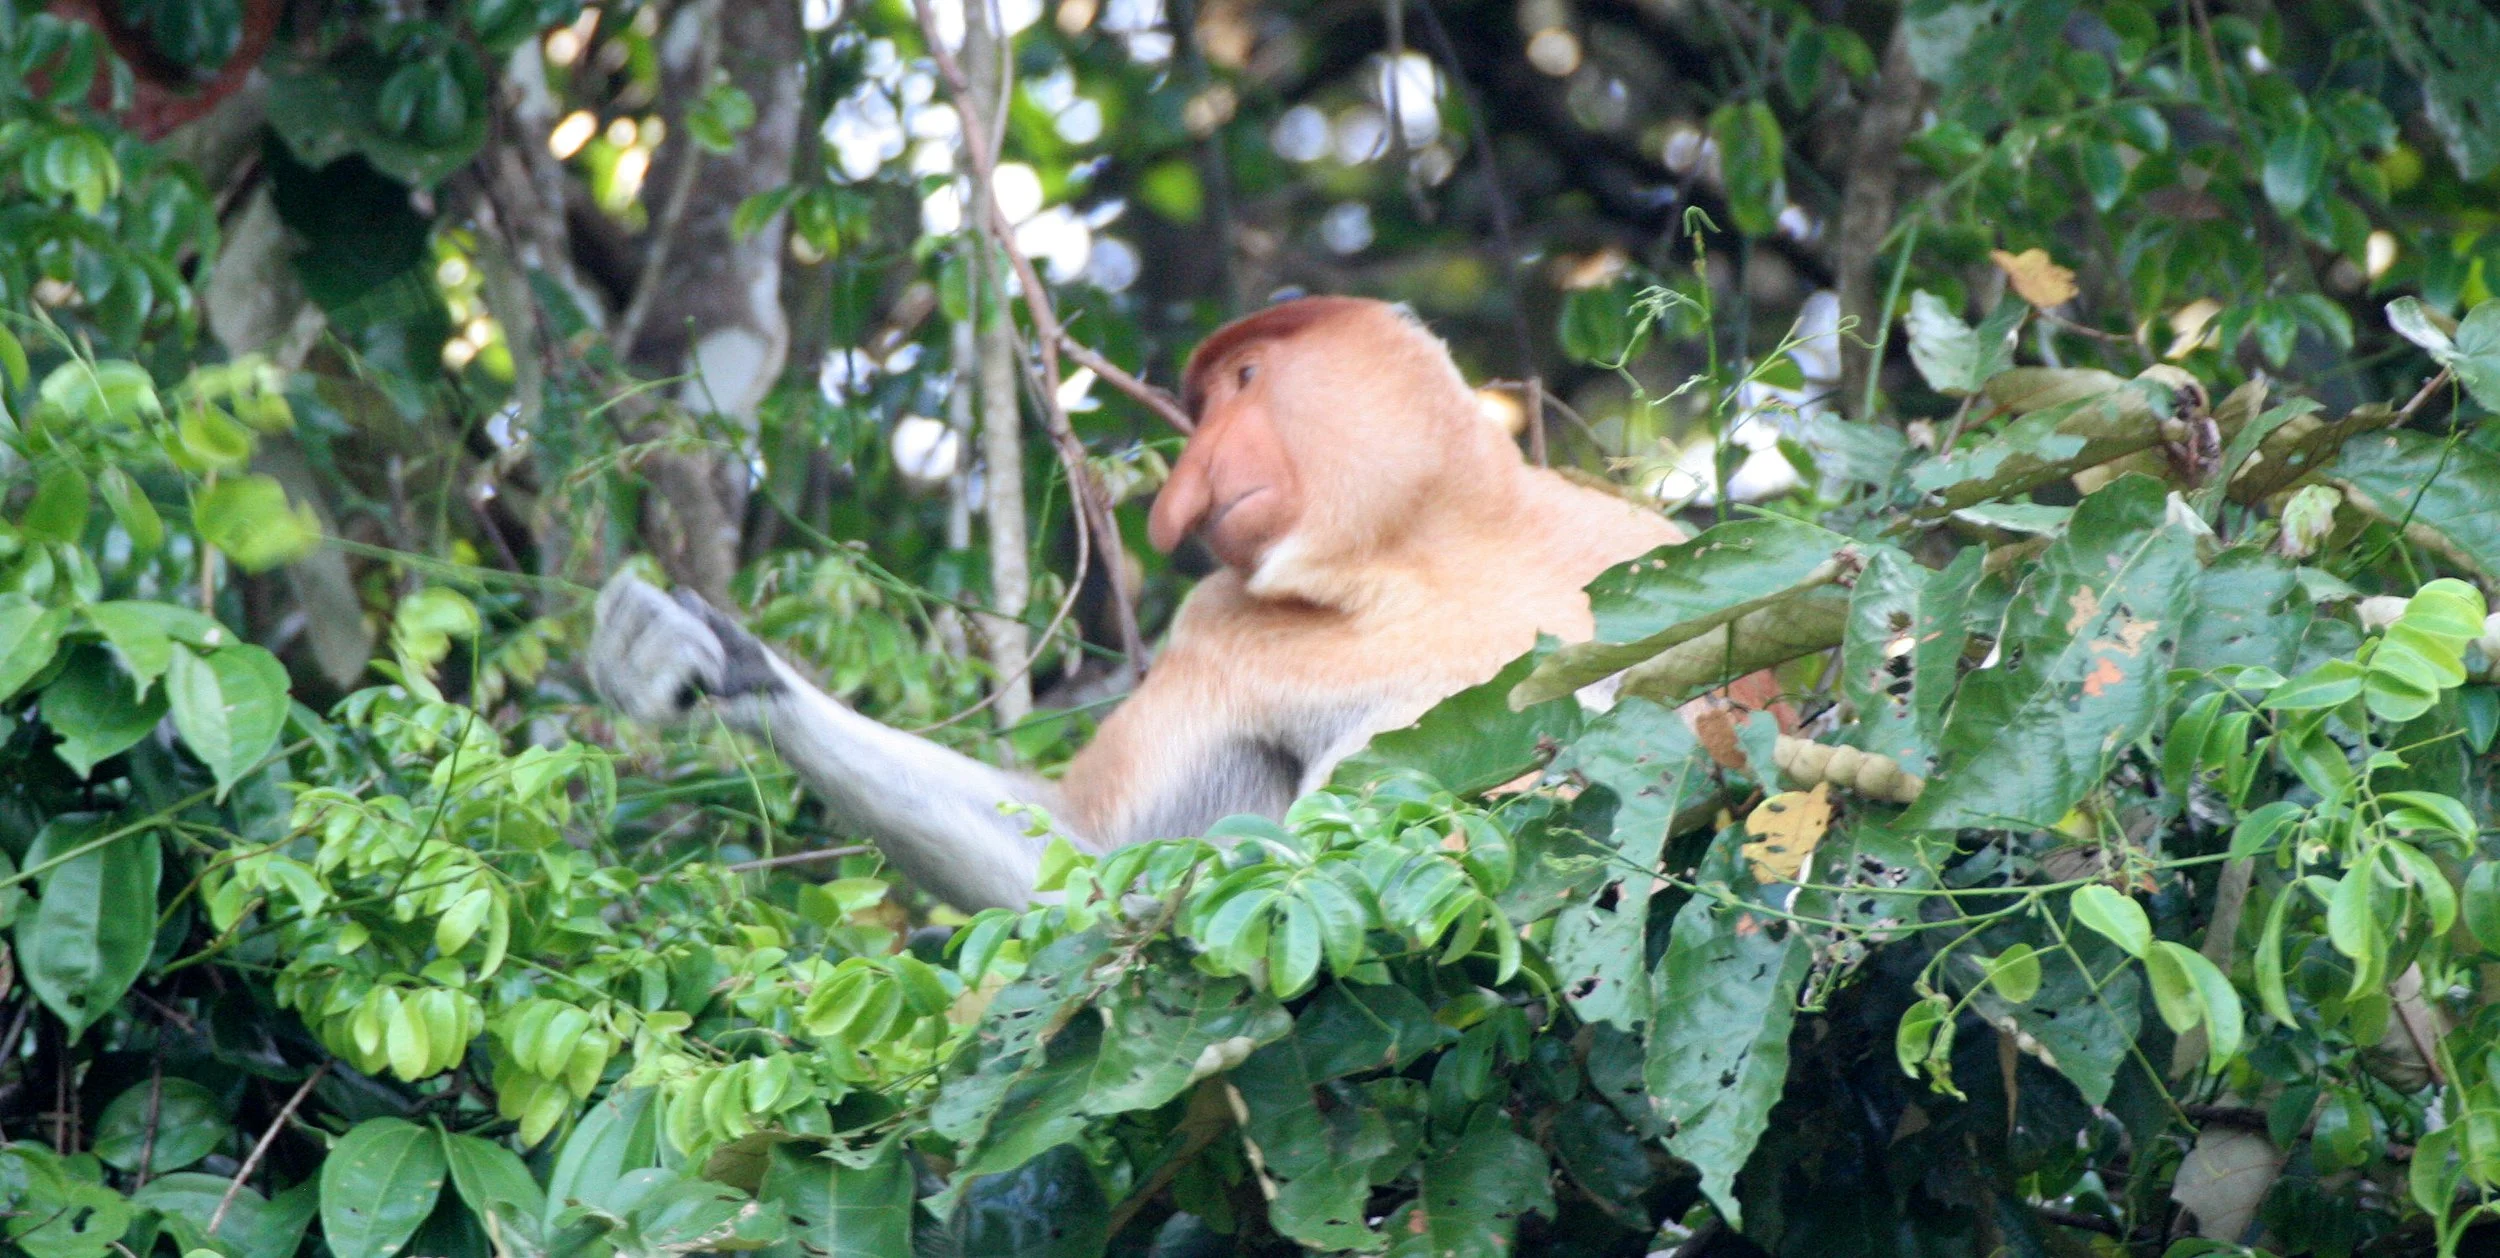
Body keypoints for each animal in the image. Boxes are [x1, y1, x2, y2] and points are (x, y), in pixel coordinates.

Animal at [591, 296, 1770, 910]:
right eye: (1200, 409)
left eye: (1244, 381)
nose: (1185, 489)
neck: (1411, 559)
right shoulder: (1211, 631)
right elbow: (1082, 865)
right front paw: (708, 659)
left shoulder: (1644, 548)